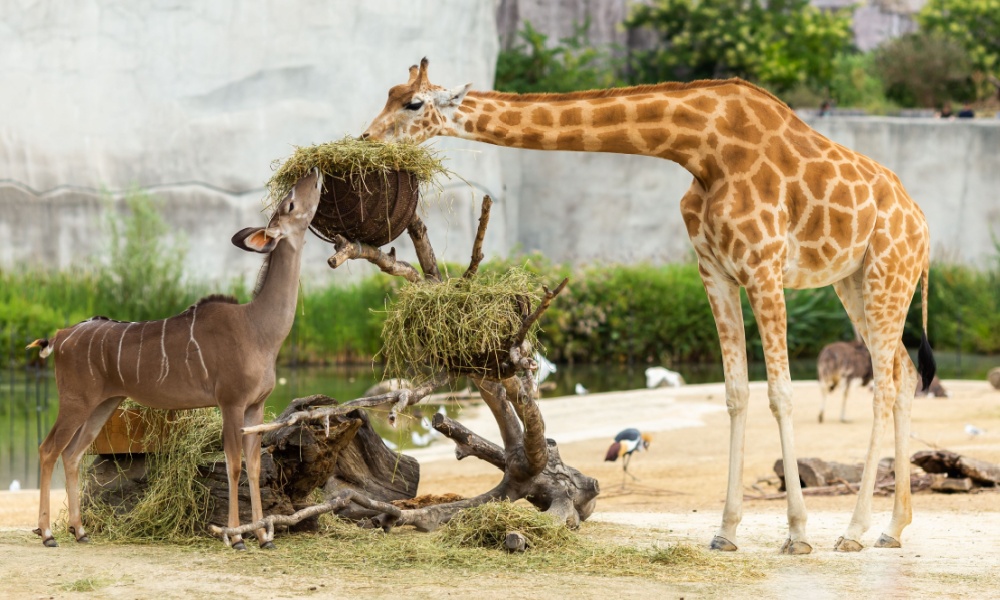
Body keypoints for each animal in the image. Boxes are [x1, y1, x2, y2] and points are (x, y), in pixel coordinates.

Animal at [28, 169, 324, 548]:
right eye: (290, 203)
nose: (314, 174)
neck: (258, 327)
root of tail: (60, 337)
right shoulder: (231, 402)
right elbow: (234, 464)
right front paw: (236, 537)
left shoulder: (255, 407)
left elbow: (256, 465)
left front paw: (263, 536)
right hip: (75, 401)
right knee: (48, 448)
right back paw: (48, 533)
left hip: (103, 404)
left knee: (72, 453)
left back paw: (79, 531)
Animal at [366, 59, 936, 552]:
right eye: (388, 95)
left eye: (413, 103)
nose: (367, 139)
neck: (701, 148)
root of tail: (923, 225)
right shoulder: (715, 270)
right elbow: (735, 393)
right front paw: (726, 531)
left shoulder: (764, 267)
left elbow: (780, 393)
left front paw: (797, 534)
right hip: (854, 282)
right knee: (905, 375)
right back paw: (893, 529)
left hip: (887, 272)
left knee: (885, 384)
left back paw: (855, 531)